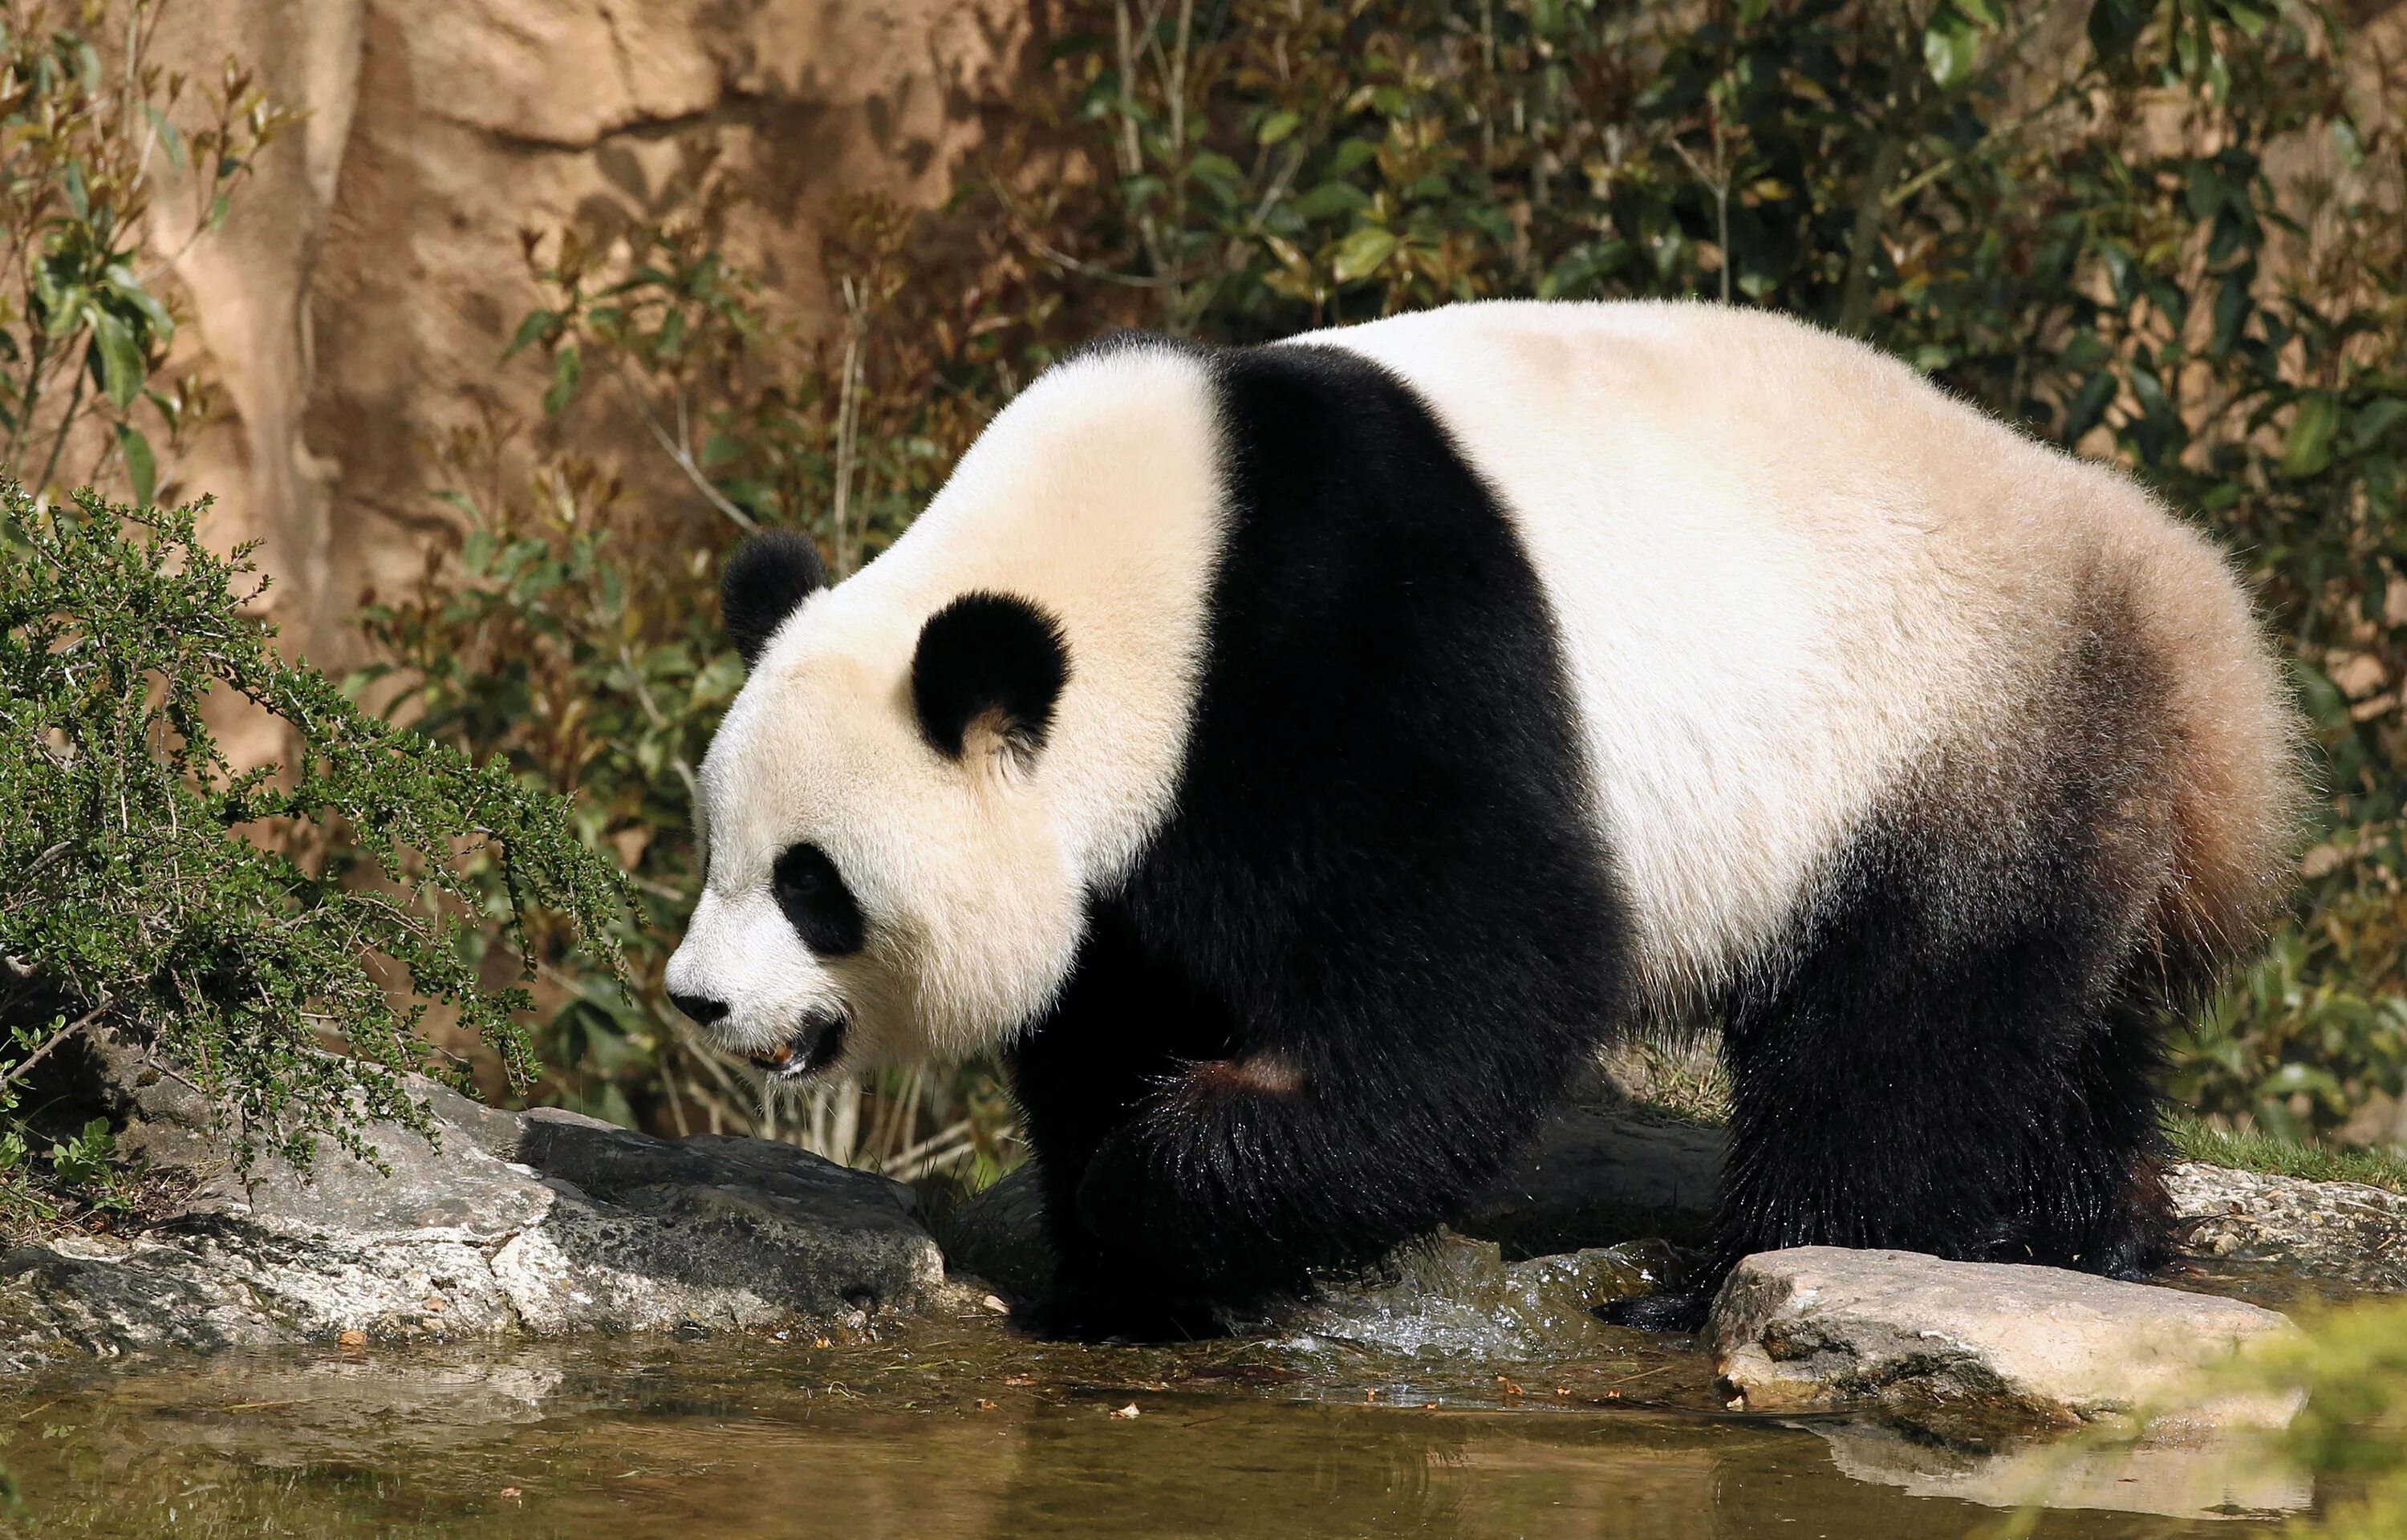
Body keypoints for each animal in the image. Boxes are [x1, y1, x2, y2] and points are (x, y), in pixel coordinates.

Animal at [660, 301, 2291, 1338]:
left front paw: (1171, 1196)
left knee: (1903, 1033)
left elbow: (1484, 979)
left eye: (814, 886)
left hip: (1954, 737)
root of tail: (2202, 626)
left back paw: (1719, 1279)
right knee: (2057, 1033)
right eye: (715, 854)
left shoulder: (1345, 656)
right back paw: (2083, 1230)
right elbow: (1114, 1003)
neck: (1137, 575)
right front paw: (1127, 1270)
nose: (698, 1001)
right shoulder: (1142, 835)